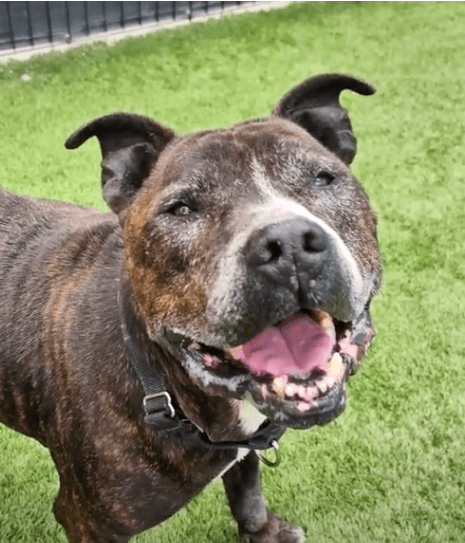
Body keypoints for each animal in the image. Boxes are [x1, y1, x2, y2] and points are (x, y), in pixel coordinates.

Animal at [0, 73, 380, 543]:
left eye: (323, 179)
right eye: (181, 209)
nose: (288, 243)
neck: (157, 380)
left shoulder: (243, 449)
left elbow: (247, 489)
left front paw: (262, 532)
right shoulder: (85, 520)